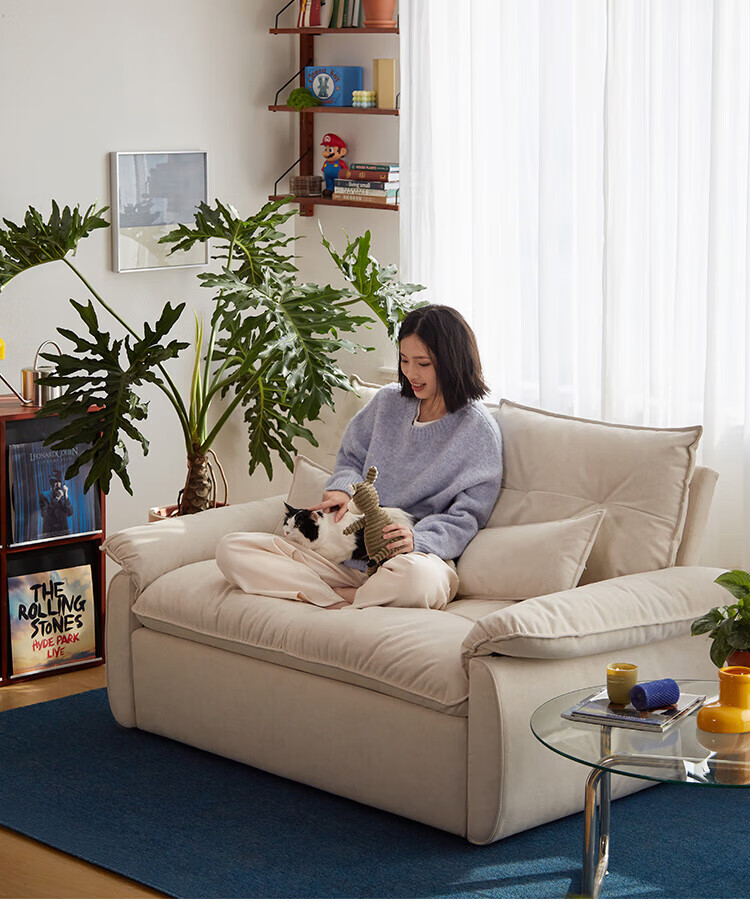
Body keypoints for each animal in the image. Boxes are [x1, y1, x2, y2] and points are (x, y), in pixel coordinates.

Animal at [281, 502, 415, 565]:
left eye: (298, 525)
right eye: (287, 523)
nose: (286, 532)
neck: (326, 530)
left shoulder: (345, 550)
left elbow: (323, 553)